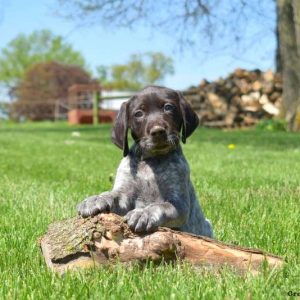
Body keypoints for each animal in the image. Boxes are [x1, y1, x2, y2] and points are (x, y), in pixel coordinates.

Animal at [77, 85, 213, 238]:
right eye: (138, 114)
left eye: (168, 107)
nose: (158, 131)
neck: (151, 161)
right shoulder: (124, 195)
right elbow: (112, 194)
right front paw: (95, 199)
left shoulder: (180, 205)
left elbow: (160, 206)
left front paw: (143, 213)